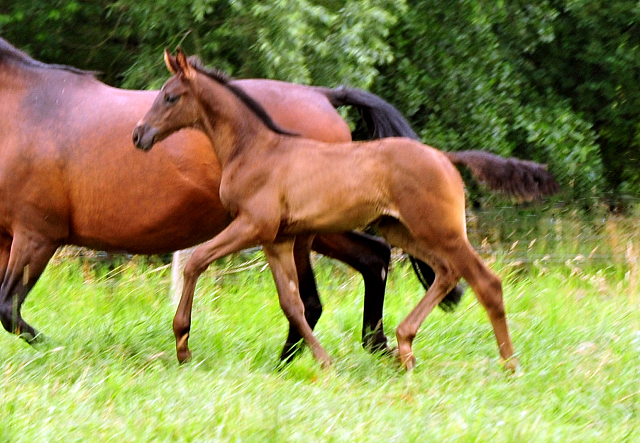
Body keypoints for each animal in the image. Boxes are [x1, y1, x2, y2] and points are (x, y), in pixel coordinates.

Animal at [130, 49, 528, 372]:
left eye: (170, 97)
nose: (138, 135)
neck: (255, 149)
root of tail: (445, 157)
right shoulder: (277, 239)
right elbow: (292, 303)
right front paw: (322, 361)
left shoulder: (252, 226)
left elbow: (196, 261)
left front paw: (182, 344)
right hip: (400, 229)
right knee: (446, 273)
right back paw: (404, 345)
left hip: (439, 230)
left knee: (486, 282)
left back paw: (509, 365)